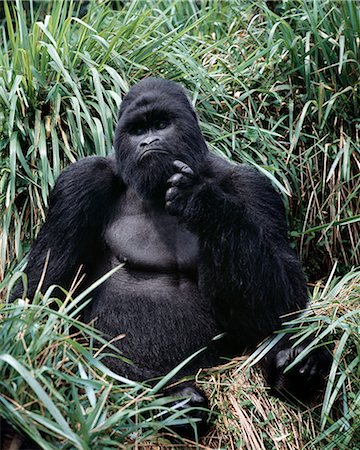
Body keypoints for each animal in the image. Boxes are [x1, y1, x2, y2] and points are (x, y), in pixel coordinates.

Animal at [11, 76, 332, 428]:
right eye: (138, 129)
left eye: (162, 124)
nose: (149, 142)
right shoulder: (80, 181)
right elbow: (42, 294)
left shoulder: (252, 185)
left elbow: (283, 300)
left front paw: (205, 202)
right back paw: (173, 400)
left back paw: (297, 367)